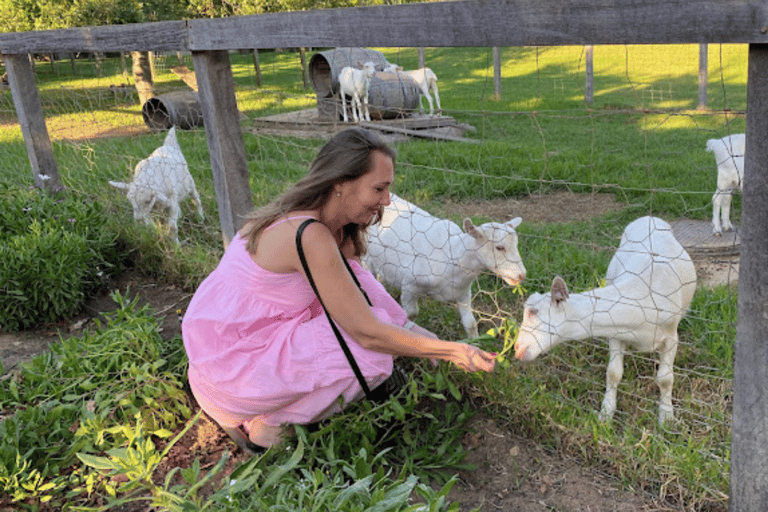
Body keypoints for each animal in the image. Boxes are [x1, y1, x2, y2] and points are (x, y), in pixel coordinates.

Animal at [364, 194, 524, 338]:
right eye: (499, 247)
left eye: (516, 244)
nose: (522, 275)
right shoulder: (410, 285)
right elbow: (410, 314)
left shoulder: (464, 293)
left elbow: (471, 323)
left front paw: (476, 343)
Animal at [516, 216, 696, 424]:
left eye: (534, 312)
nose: (517, 348)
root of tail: (649, 218)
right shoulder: (617, 332)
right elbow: (613, 373)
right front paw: (606, 413)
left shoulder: (671, 337)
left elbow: (666, 379)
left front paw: (666, 417)